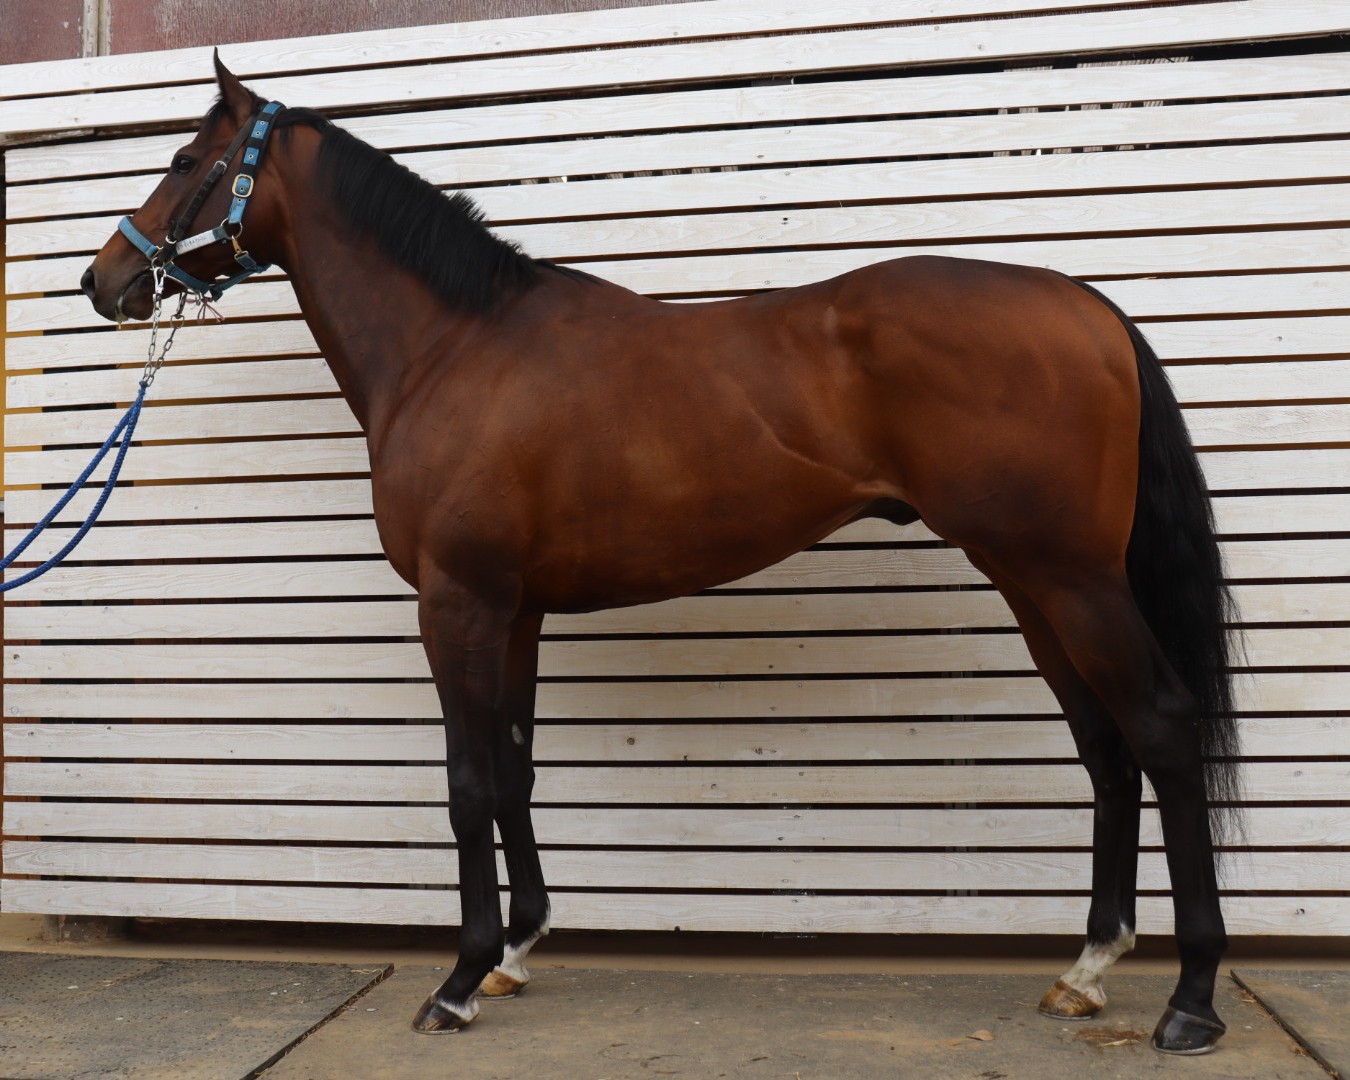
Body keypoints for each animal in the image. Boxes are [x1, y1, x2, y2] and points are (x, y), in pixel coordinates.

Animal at [81, 55, 1240, 1055]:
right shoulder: (514, 609)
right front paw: (519, 950)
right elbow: (515, 768)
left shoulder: (457, 603)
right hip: (1033, 583)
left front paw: (459, 980)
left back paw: (1190, 1001)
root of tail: (1084, 306)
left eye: (182, 160)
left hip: (1069, 580)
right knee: (1106, 748)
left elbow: (467, 781)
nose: (104, 281)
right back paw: (1086, 970)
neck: (456, 347)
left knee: (1161, 730)